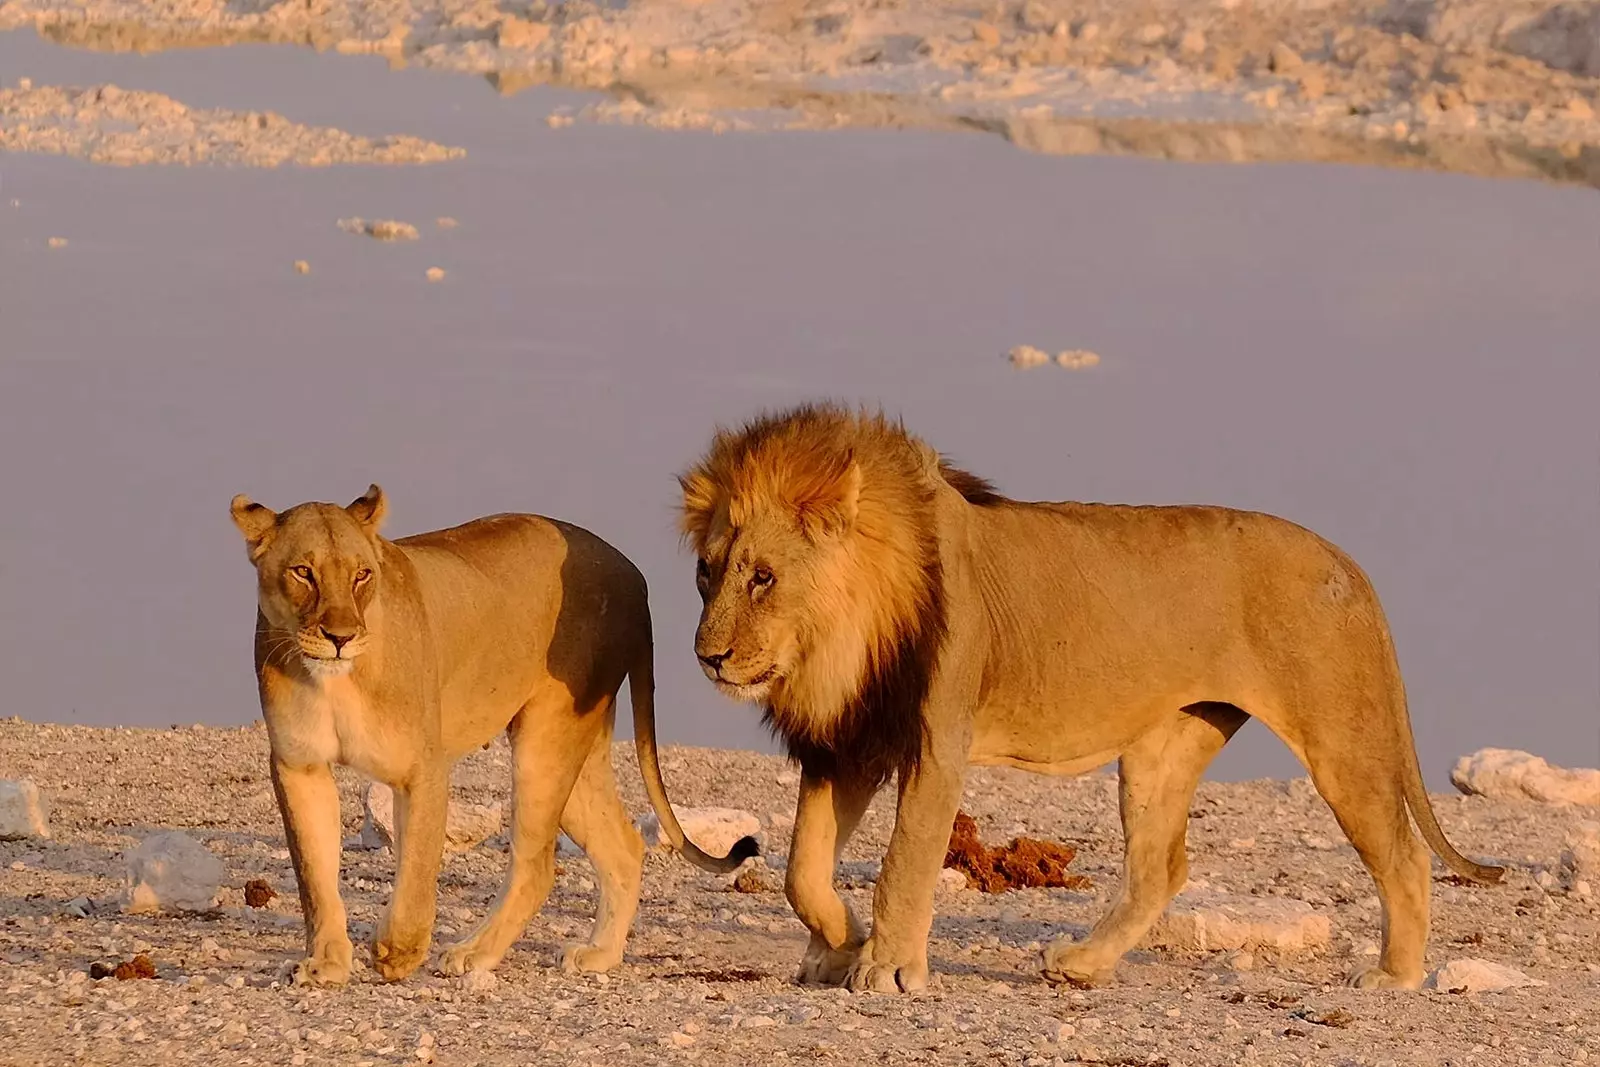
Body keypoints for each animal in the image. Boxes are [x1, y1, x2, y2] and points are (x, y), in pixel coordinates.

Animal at [228, 489, 752, 991]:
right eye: (303, 572)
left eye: (362, 575)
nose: (340, 637)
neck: (334, 680)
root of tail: (633, 575)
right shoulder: (298, 764)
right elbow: (314, 874)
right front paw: (326, 964)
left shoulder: (422, 767)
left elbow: (416, 870)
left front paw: (397, 953)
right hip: (575, 751)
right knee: (623, 845)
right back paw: (600, 953)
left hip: (545, 739)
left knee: (537, 866)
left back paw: (473, 952)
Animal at [675, 404, 1497, 998]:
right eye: (706, 573)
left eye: (763, 577)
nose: (707, 655)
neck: (837, 645)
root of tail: (1347, 561)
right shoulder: (846, 745)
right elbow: (802, 872)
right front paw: (841, 945)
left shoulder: (936, 742)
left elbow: (904, 863)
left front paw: (887, 969)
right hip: (1162, 749)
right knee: (1161, 867)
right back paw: (1081, 964)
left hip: (1339, 740)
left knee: (1403, 854)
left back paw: (1394, 975)